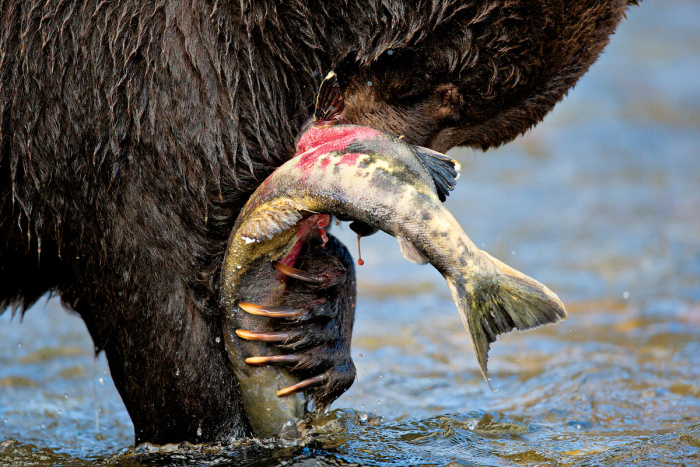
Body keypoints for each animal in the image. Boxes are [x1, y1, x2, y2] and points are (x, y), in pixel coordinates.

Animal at [0, 0, 640, 444]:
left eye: (465, 121)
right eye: (435, 84)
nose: (427, 178)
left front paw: (309, 328)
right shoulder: (127, 87)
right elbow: (158, 296)